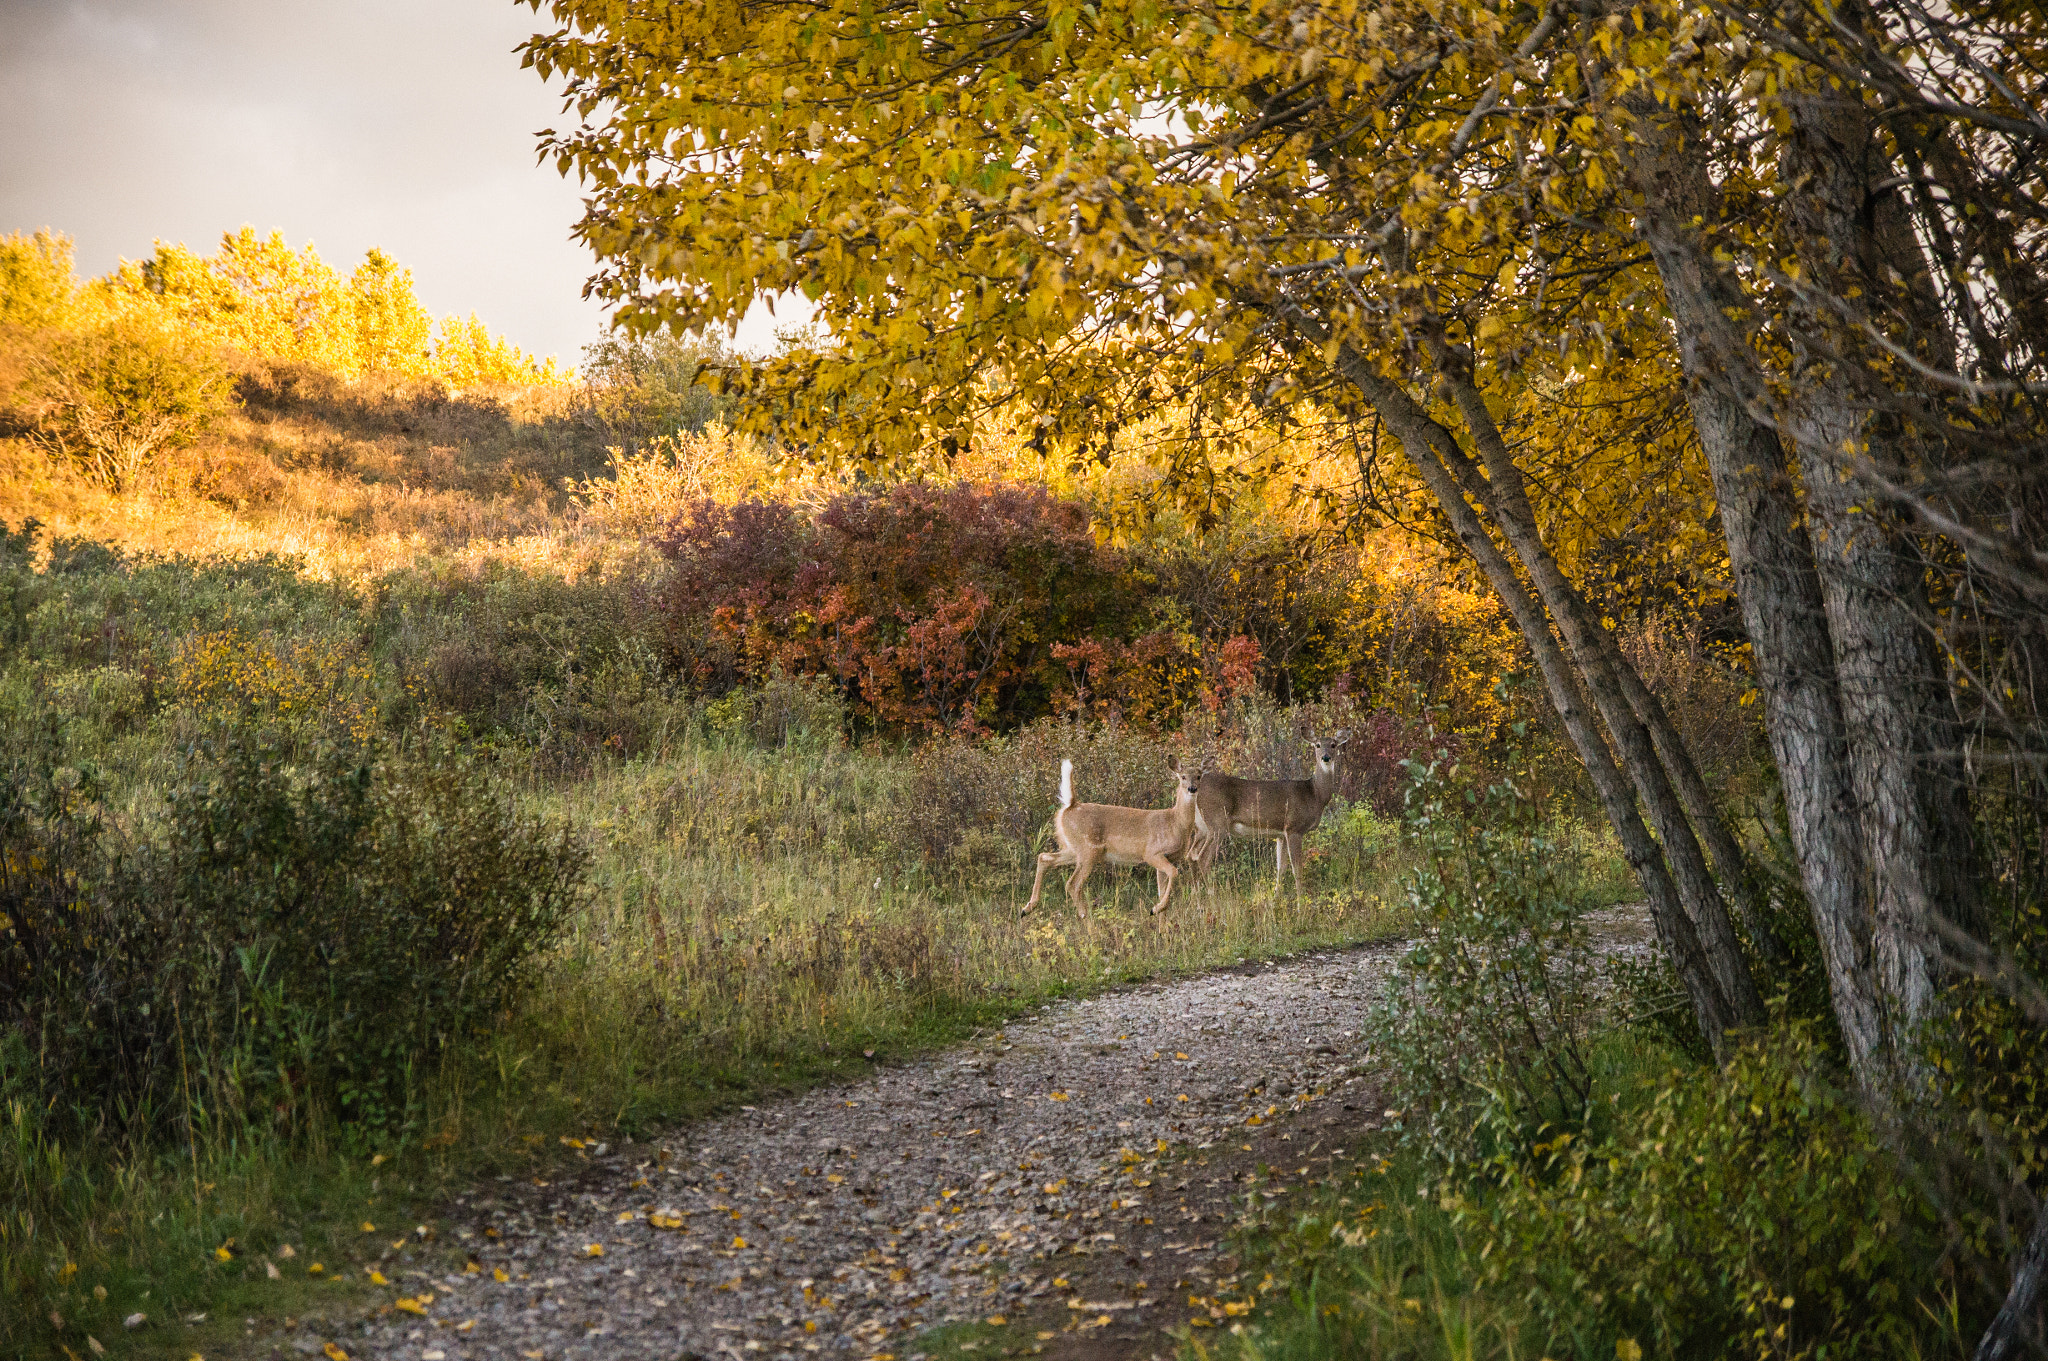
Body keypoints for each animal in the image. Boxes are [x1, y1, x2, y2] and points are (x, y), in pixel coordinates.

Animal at [1021, 756, 1203, 919]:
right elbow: (1174, 872)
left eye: (1199, 776)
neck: (1175, 823)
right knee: (1072, 884)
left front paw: (1160, 918)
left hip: (1073, 849)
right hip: (1088, 850)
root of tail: (1070, 805)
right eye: (1183, 776)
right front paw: (1155, 909)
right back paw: (1087, 920)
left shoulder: (1169, 857)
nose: (1192, 788)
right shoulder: (1152, 853)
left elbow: (1162, 889)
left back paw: (1027, 908)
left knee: (1044, 857)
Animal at [1188, 732, 1350, 895]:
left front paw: (1276, 897)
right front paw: (1300, 899)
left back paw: (1196, 895)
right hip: (1217, 822)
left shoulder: (1281, 834)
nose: (1326, 757)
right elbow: (1296, 868)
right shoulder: (1294, 828)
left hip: (1202, 827)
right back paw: (1212, 894)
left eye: (1333, 744)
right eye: (1317, 745)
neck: (1314, 794)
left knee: (1191, 855)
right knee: (1202, 858)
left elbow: (1281, 868)